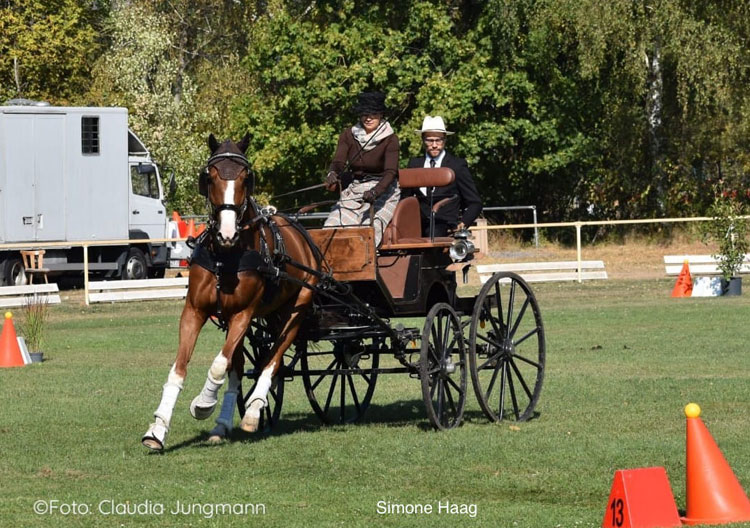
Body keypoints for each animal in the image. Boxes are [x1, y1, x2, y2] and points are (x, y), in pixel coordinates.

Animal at [143, 134, 320, 452]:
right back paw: (223, 424)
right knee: (241, 366)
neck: (227, 256)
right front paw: (158, 429)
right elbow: (180, 369)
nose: (227, 233)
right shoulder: (195, 311)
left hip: (294, 312)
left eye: (245, 177)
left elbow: (218, 365)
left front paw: (202, 404)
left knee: (273, 359)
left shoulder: (242, 314)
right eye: (210, 177)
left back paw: (254, 409)